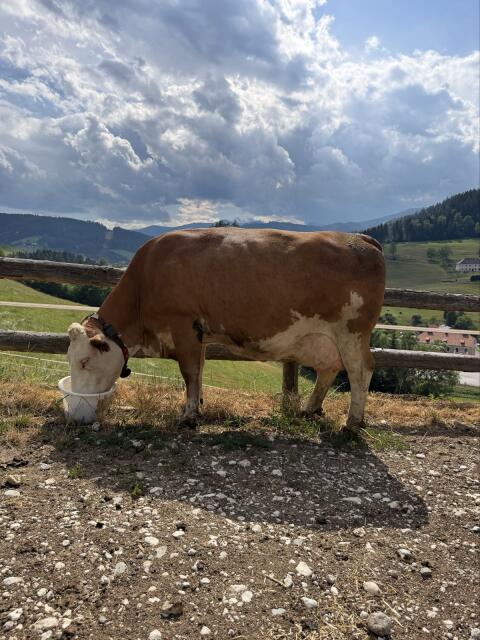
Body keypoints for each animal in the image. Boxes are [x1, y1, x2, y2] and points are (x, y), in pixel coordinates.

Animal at [67, 228, 385, 431]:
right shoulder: (199, 333)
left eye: (84, 361)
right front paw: (198, 406)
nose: (75, 413)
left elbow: (189, 372)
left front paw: (189, 416)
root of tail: (360, 238)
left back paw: (351, 424)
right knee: (329, 369)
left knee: (361, 370)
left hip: (352, 332)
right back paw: (310, 409)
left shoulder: (183, 325)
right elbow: (200, 370)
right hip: (327, 339)